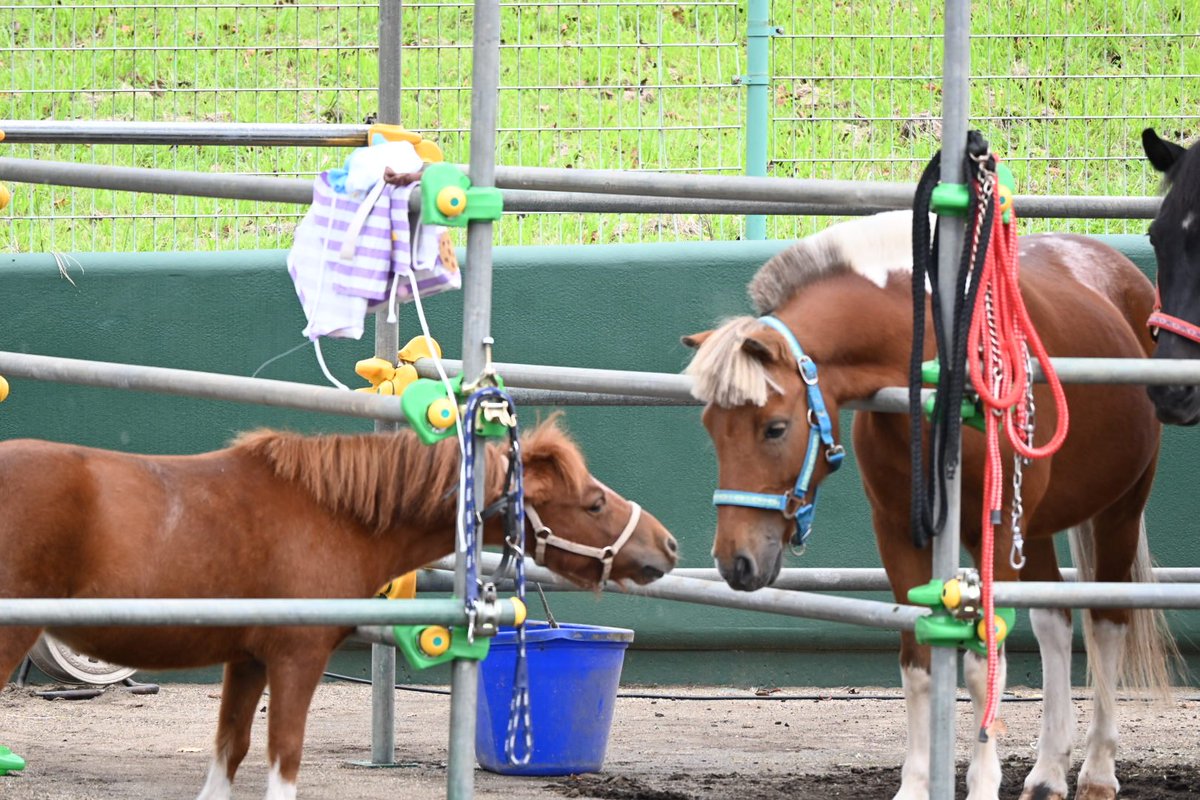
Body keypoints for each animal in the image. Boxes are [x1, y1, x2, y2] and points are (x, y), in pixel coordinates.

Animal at [0, 415, 678, 800]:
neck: (331, 515)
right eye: (592, 503)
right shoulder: (296, 660)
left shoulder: (247, 660)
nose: (667, 546)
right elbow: (283, 762)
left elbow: (229, 754)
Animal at [682, 210, 1176, 800]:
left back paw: (1098, 772)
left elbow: (984, 660)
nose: (736, 562)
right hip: (1030, 530)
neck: (940, 363)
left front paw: (982, 784)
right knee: (1054, 620)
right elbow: (918, 661)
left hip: (1120, 508)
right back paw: (1048, 772)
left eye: (775, 428)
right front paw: (917, 785)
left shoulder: (988, 534)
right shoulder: (897, 530)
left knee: (1107, 622)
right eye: (710, 427)